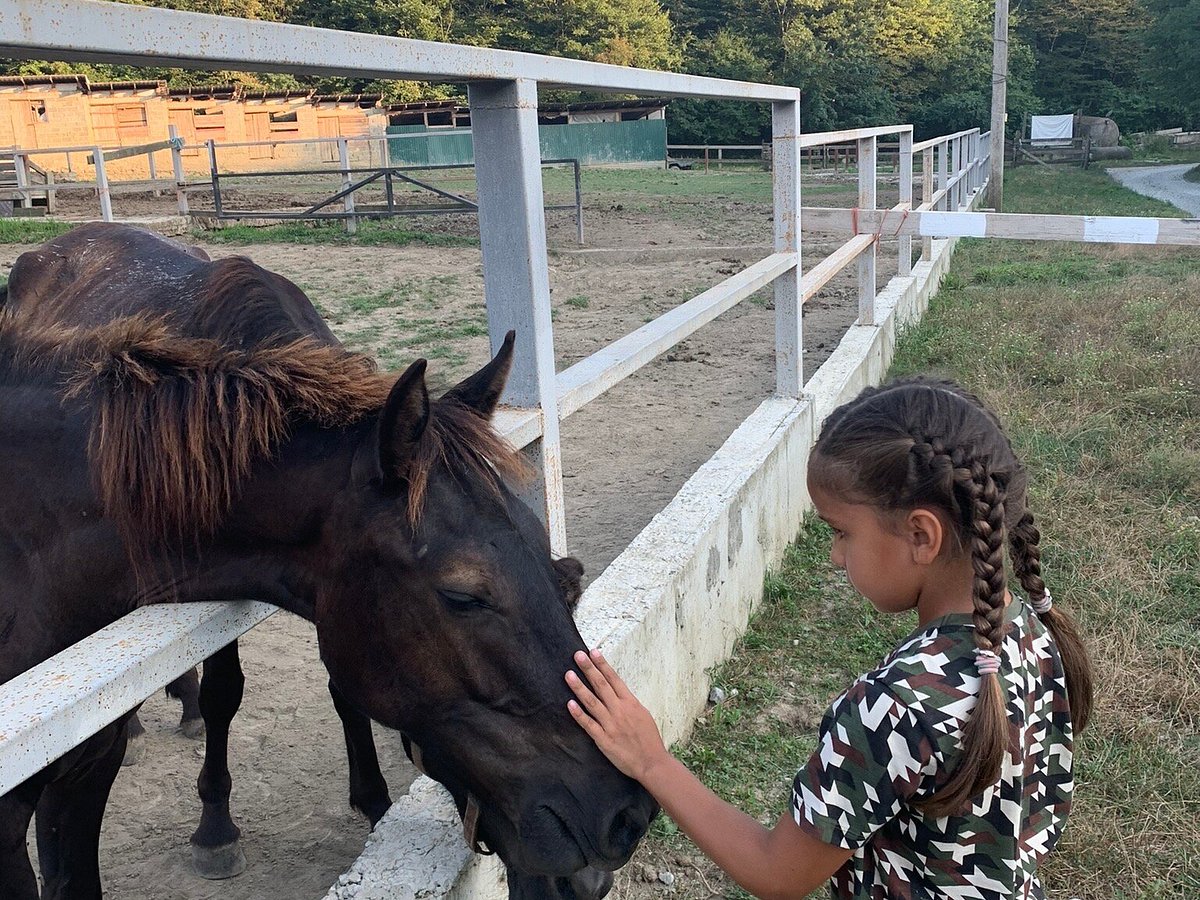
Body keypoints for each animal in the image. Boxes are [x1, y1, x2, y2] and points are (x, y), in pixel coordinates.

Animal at [0, 225, 657, 900]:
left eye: (556, 568)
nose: (622, 816)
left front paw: (373, 802)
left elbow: (340, 690)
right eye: (463, 595)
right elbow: (226, 694)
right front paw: (216, 828)